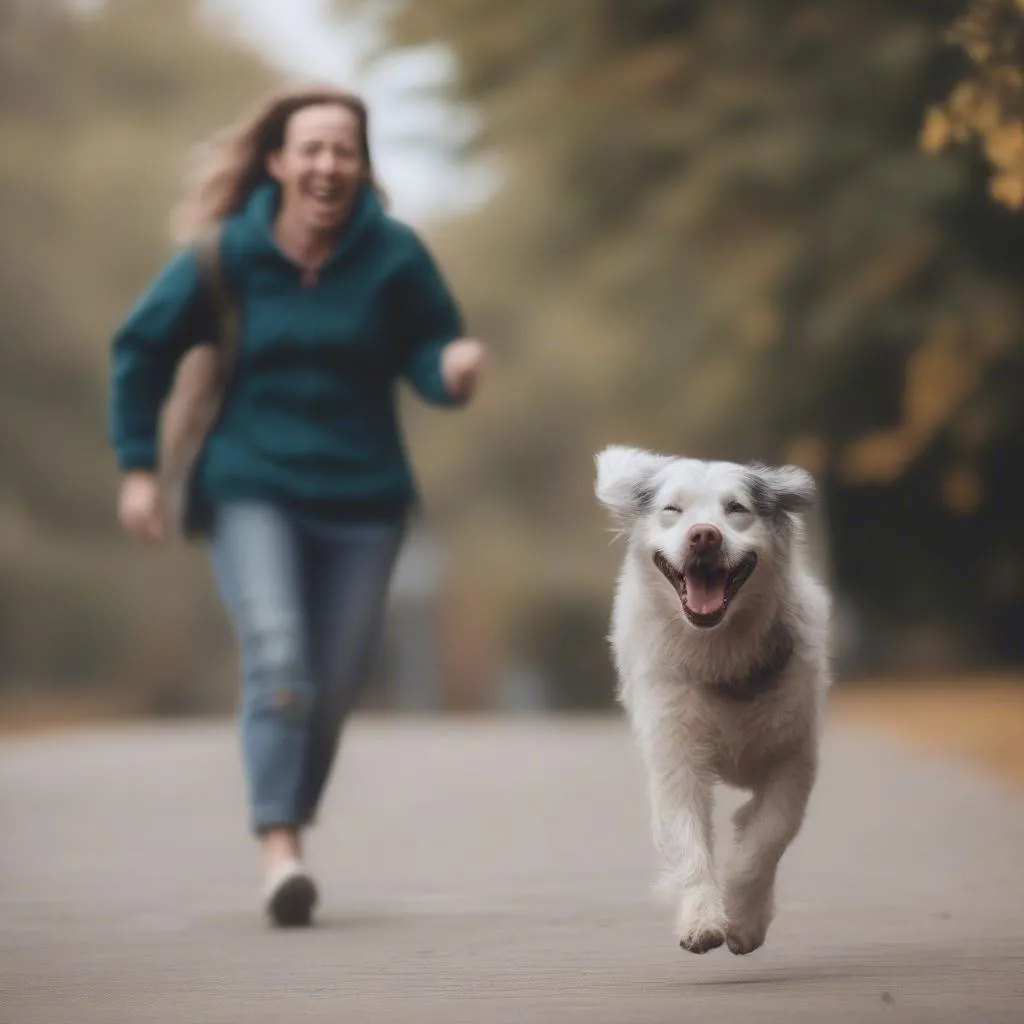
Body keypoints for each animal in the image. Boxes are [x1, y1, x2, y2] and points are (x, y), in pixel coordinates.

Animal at [598, 444, 827, 954]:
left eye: (736, 508)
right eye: (673, 510)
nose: (704, 535)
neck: (718, 654)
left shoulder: (792, 755)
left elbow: (766, 838)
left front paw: (742, 917)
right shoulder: (674, 753)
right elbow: (687, 838)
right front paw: (702, 920)